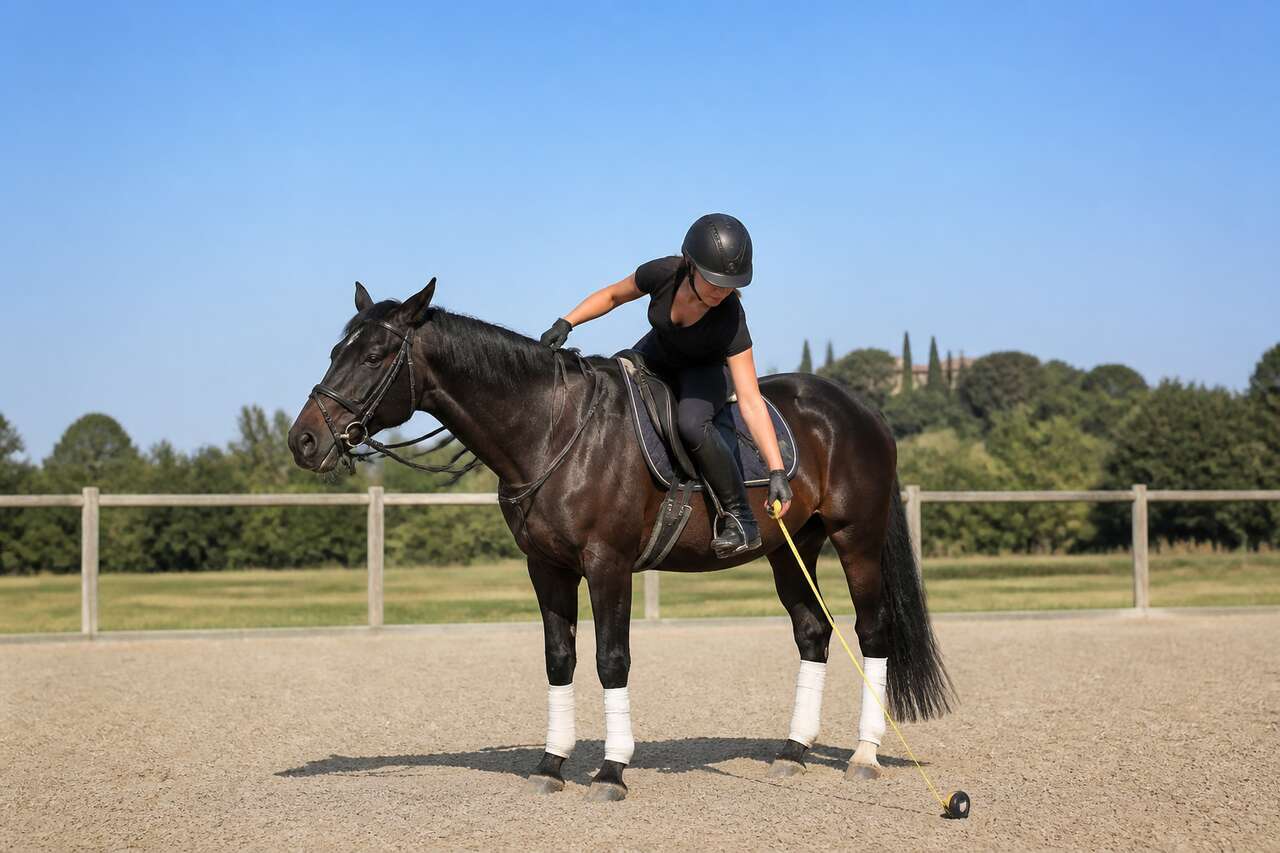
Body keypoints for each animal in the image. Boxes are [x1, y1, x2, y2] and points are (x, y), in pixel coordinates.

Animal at [287, 279, 953, 801]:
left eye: (375, 355)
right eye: (335, 350)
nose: (304, 441)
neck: (553, 431)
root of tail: (861, 409)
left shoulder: (607, 565)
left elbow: (612, 659)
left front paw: (611, 770)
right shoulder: (546, 568)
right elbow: (560, 659)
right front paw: (551, 764)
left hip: (855, 539)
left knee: (872, 631)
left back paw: (863, 755)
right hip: (792, 549)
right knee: (813, 632)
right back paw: (792, 752)